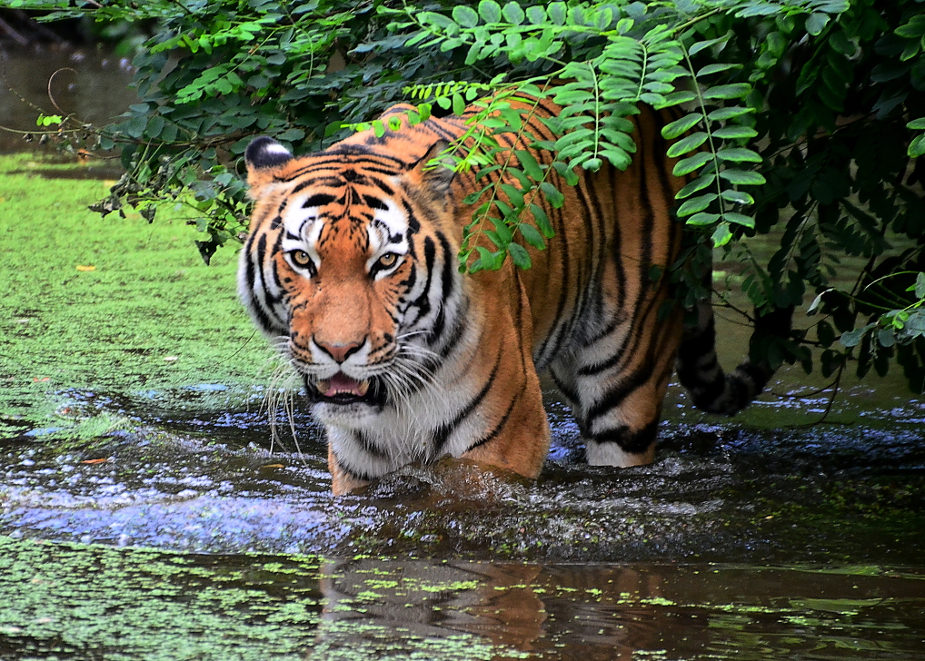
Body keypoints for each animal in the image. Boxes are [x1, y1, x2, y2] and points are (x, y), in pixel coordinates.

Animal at [238, 94, 788, 496]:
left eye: (386, 262)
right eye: (302, 259)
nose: (339, 351)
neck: (397, 400)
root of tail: (663, 110)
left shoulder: (500, 445)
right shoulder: (359, 462)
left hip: (626, 383)